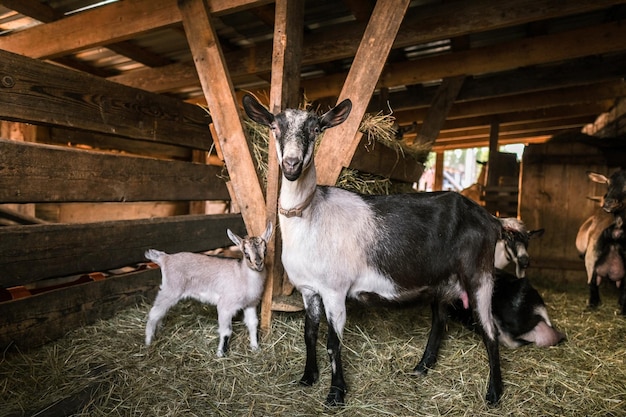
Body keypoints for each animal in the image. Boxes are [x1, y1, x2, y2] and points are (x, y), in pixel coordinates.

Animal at [144, 223, 270, 356]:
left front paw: (255, 348)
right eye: (246, 253)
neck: (242, 275)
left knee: (160, 312)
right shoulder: (225, 306)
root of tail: (165, 258)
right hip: (171, 289)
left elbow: (253, 323)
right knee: (154, 313)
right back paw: (148, 342)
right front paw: (220, 354)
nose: (258, 264)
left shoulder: (250, 304)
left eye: (265, 250)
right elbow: (226, 331)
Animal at [241, 96, 504, 404]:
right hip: (441, 282)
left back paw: (494, 393)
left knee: (490, 330)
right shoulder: (309, 290)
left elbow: (332, 342)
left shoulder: (335, 290)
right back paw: (421, 367)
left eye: (316, 130)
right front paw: (307, 378)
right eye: (274, 127)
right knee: (440, 321)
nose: (291, 164)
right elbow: (309, 333)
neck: (312, 216)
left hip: (479, 276)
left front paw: (336, 394)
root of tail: (491, 220)